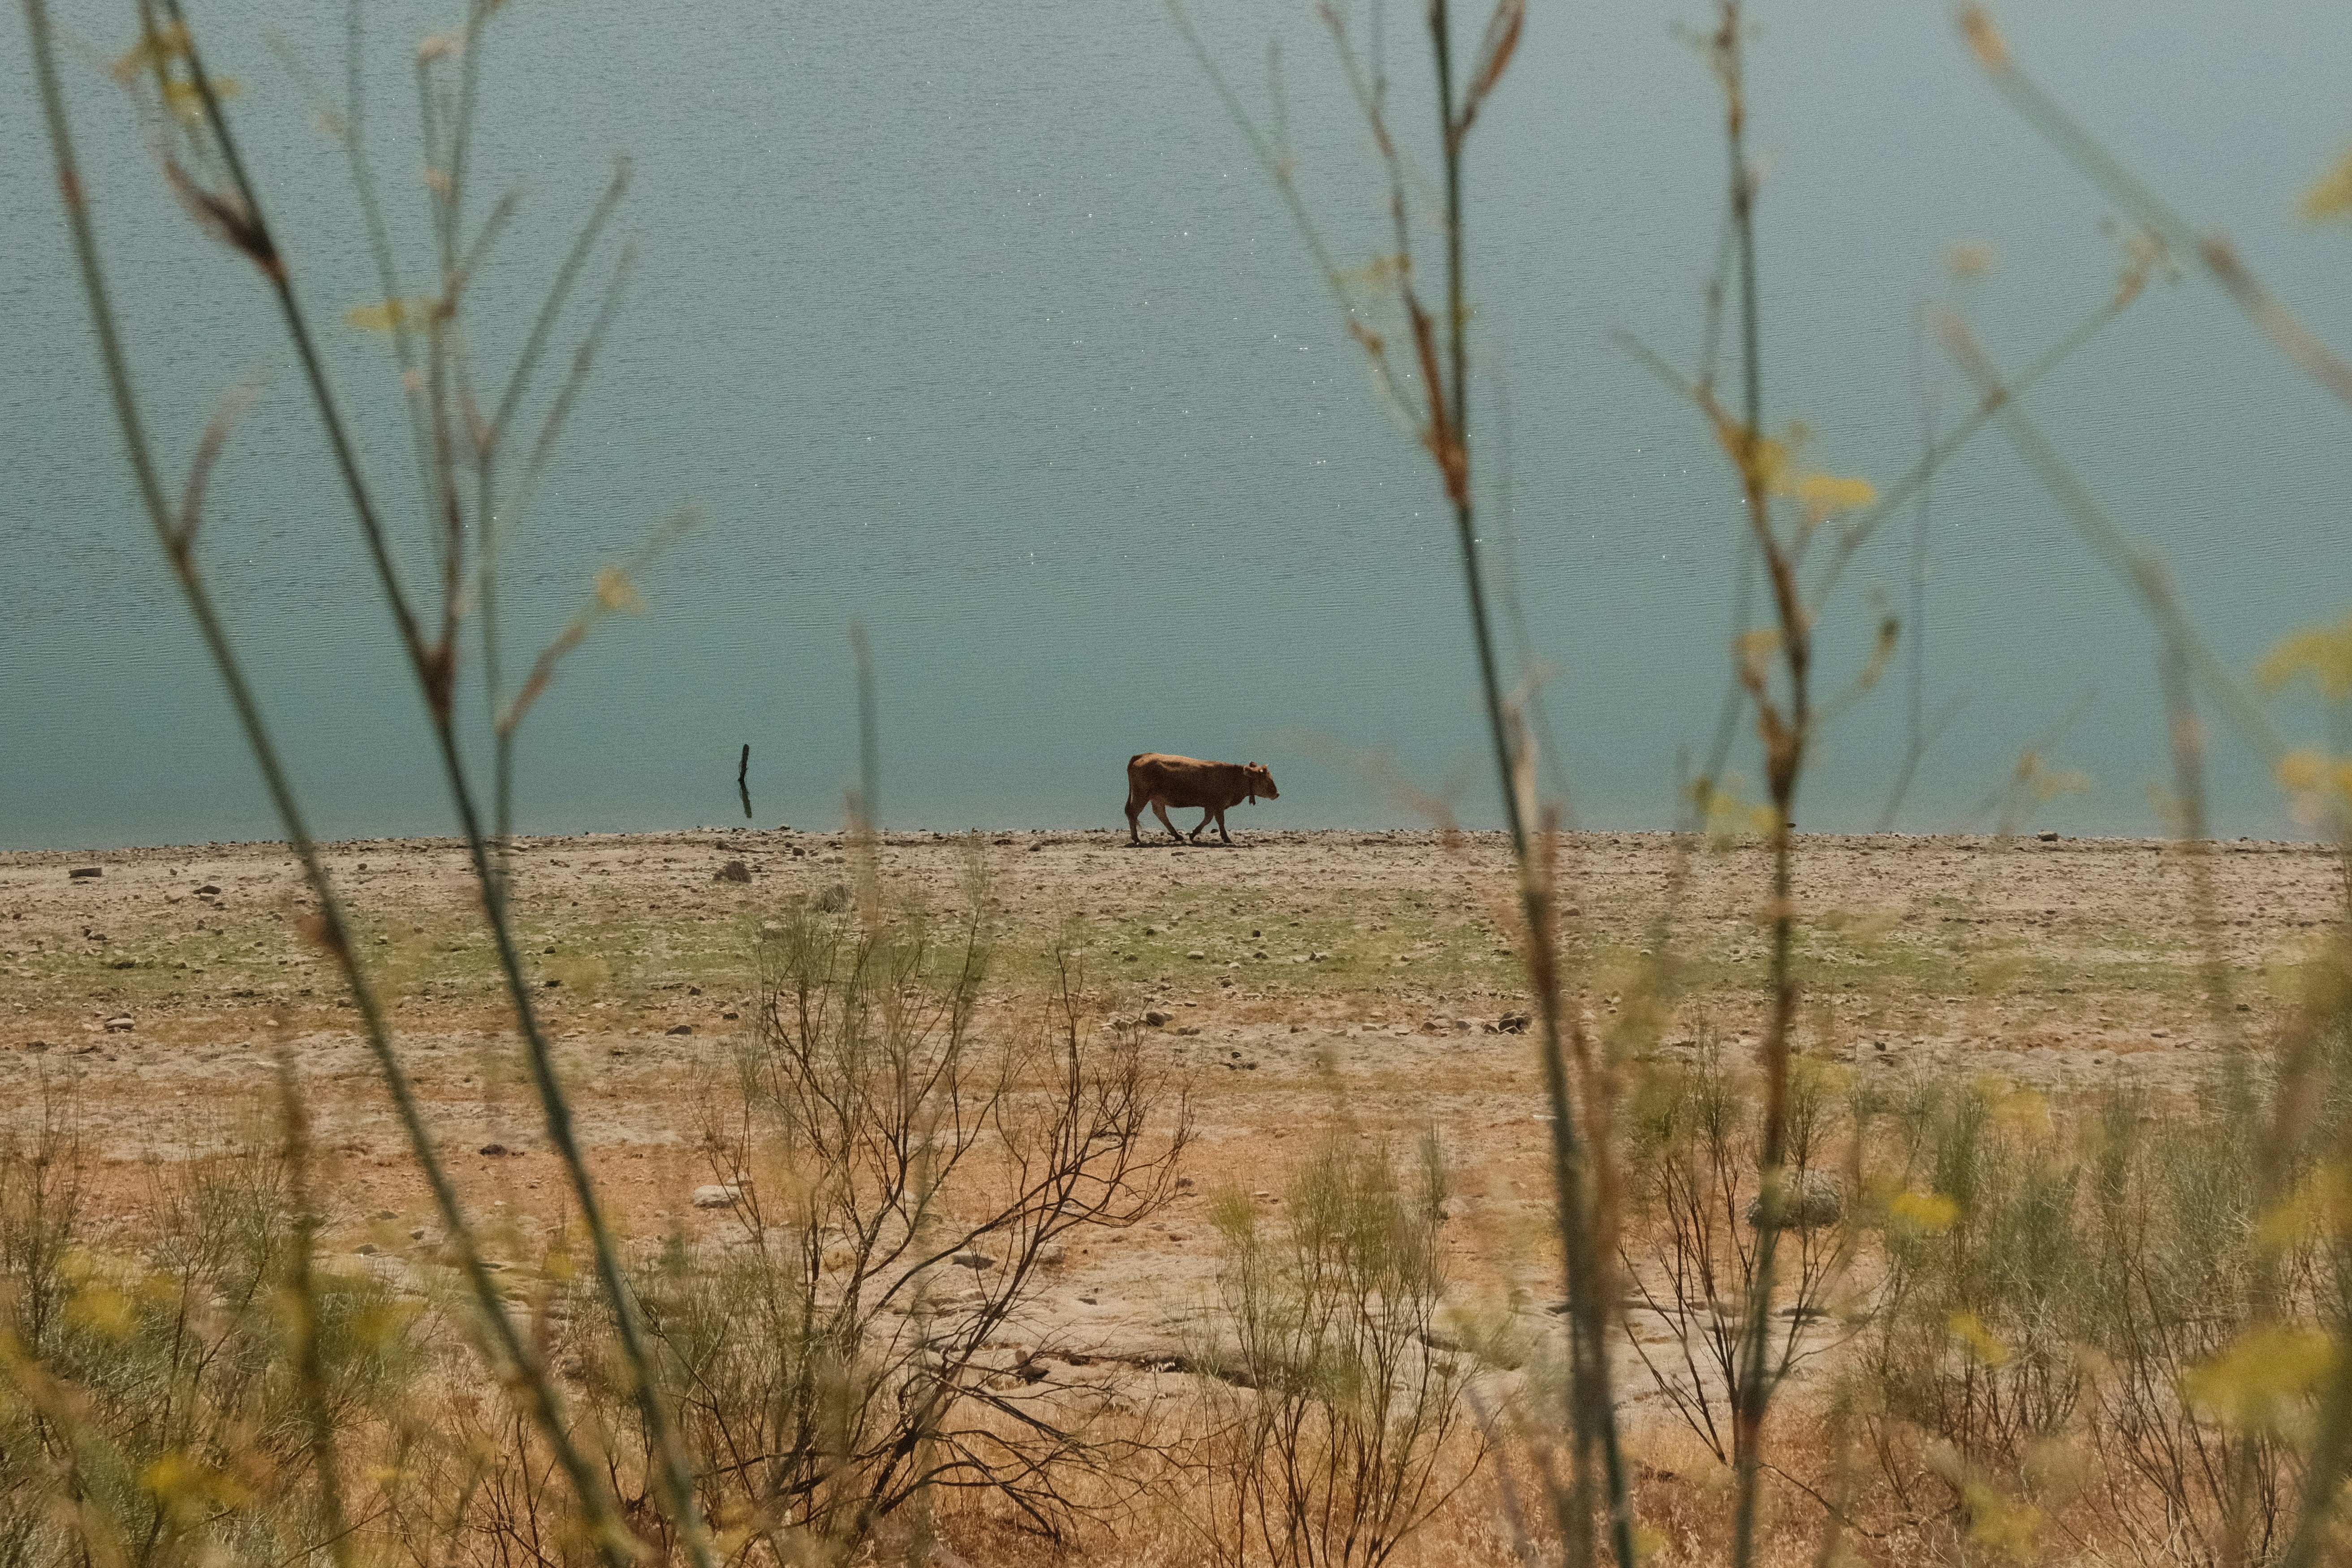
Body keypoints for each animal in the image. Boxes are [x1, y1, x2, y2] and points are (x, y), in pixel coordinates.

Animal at [1125, 753, 1279, 846]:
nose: (1277, 794)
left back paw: (1178, 836)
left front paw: (1193, 835)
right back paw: (1137, 839)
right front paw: (1227, 839)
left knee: (1160, 813)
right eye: (1267, 780)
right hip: (1141, 795)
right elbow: (1220, 822)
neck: (1233, 777)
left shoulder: (1210, 805)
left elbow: (1207, 820)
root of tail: (1143, 755)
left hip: (1156, 798)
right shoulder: (1218, 805)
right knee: (1133, 813)